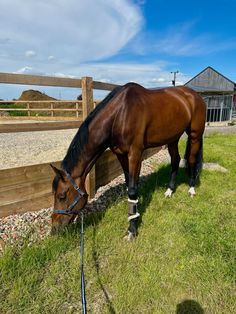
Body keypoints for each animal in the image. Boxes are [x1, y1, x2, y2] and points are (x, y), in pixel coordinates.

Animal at [50, 82, 206, 239]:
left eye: (62, 196)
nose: (54, 228)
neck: (120, 114)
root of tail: (196, 95)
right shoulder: (121, 154)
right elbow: (128, 184)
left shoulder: (135, 154)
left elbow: (132, 190)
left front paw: (132, 230)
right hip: (173, 137)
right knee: (175, 160)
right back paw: (169, 191)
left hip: (195, 135)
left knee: (191, 159)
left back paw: (191, 189)